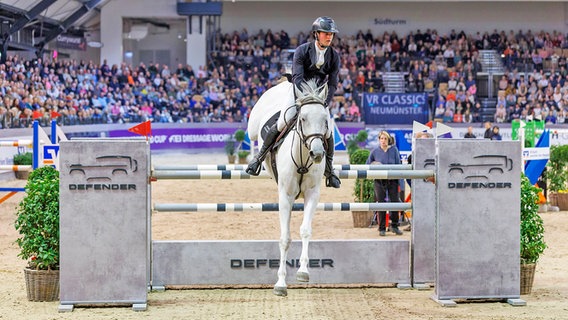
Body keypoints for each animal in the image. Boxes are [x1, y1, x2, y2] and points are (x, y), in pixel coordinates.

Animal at [246, 79, 330, 296]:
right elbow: (285, 239)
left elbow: (305, 231)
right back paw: (254, 160)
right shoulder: (285, 196)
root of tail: (285, 83)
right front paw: (281, 283)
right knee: (252, 135)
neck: (303, 158)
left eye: (325, 120)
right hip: (254, 125)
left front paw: (302, 272)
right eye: (303, 118)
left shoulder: (312, 194)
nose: (317, 153)